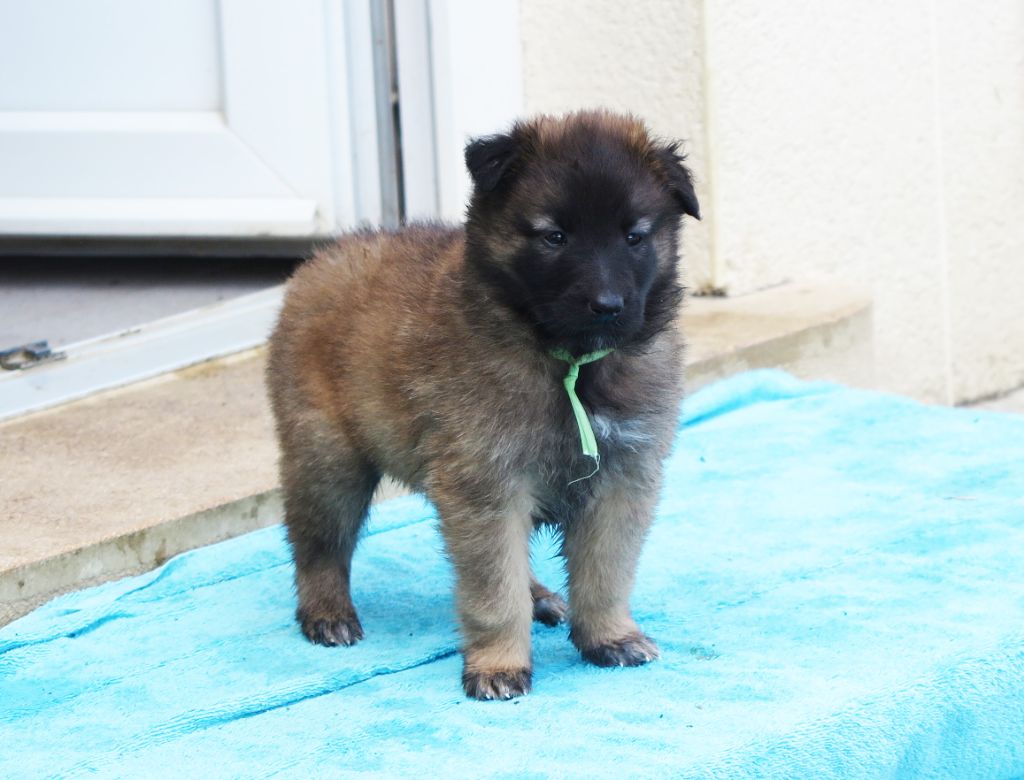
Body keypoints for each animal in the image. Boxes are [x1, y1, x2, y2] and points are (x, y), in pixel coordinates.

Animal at [266, 110, 700, 700]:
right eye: (554, 236)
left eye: (634, 237)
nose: (608, 306)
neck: (567, 363)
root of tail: (325, 256)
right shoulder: (486, 484)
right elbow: (495, 591)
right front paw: (498, 664)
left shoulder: (621, 478)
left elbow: (606, 572)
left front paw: (610, 636)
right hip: (327, 460)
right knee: (319, 545)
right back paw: (327, 612)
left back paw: (541, 596)